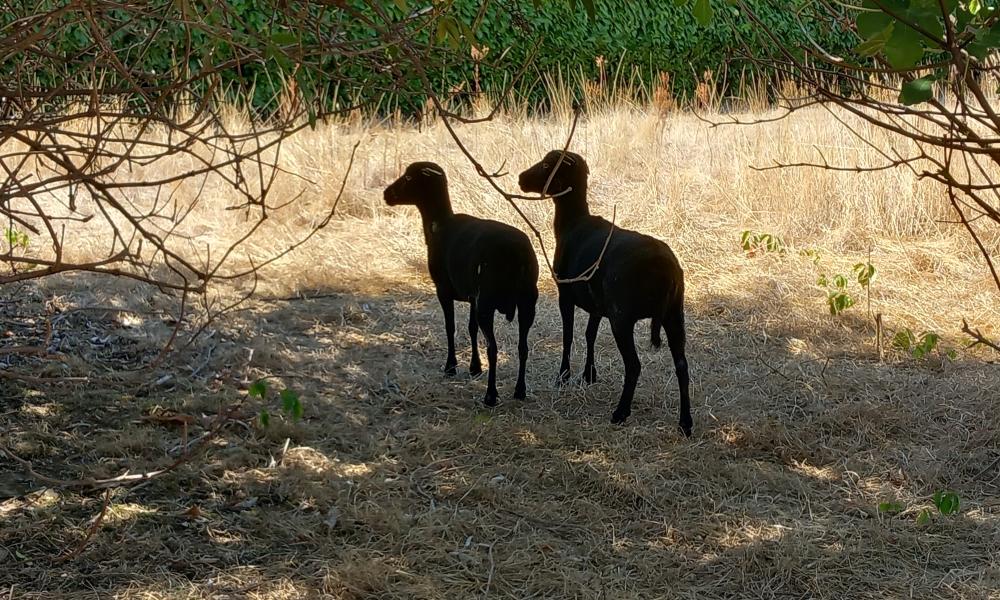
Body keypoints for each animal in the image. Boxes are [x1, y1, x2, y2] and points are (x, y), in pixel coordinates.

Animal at [384, 162, 540, 406]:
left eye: (408, 177)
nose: (387, 194)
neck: (438, 225)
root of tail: (518, 254)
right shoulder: (472, 297)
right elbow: (471, 328)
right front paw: (474, 367)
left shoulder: (444, 290)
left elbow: (451, 327)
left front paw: (451, 367)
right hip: (527, 301)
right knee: (522, 347)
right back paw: (520, 391)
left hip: (489, 301)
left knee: (493, 348)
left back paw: (491, 395)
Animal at [520, 150, 692, 436]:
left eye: (546, 165)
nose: (521, 178)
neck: (570, 224)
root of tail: (664, 269)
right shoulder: (597, 305)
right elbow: (589, 334)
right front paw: (589, 374)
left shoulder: (566, 293)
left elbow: (568, 335)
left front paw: (563, 376)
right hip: (674, 313)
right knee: (682, 366)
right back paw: (685, 423)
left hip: (622, 315)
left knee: (634, 365)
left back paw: (620, 413)